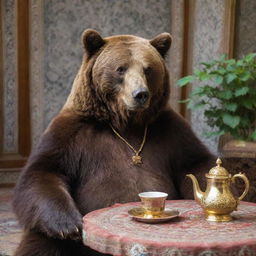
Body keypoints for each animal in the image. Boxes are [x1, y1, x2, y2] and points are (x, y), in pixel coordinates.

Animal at [13, 29, 215, 255]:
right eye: (121, 68)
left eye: (148, 69)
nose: (140, 94)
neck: (125, 122)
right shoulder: (71, 135)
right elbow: (44, 171)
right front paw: (68, 225)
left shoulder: (171, 131)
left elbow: (195, 162)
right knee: (40, 243)